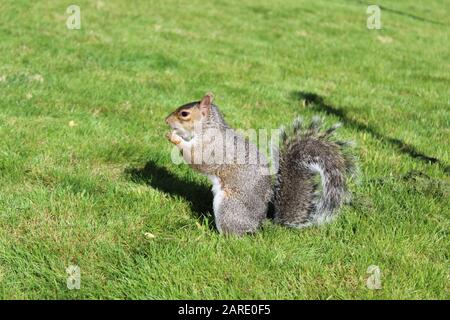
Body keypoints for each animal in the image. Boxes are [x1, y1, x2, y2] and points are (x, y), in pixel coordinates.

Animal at [165, 92, 356, 235]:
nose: (166, 120)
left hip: (229, 206)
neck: (208, 128)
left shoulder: (213, 149)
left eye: (184, 114)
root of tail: (259, 224)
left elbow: (197, 159)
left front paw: (174, 138)